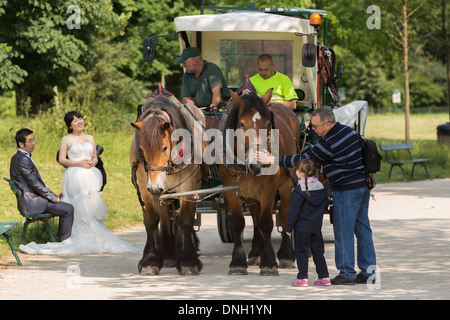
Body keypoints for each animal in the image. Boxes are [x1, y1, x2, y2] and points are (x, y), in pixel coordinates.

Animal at [129, 90, 207, 276]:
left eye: (164, 148)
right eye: (141, 149)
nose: (155, 187)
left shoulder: (188, 185)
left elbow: (185, 219)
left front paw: (188, 261)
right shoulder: (146, 186)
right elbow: (151, 220)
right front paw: (150, 261)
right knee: (165, 217)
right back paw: (170, 254)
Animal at [220, 89, 300, 276]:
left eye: (267, 124)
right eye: (241, 124)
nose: (257, 163)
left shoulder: (269, 189)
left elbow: (266, 222)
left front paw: (269, 262)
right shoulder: (230, 189)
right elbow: (239, 223)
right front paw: (238, 262)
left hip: (288, 184)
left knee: (284, 215)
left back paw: (286, 255)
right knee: (255, 217)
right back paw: (256, 252)